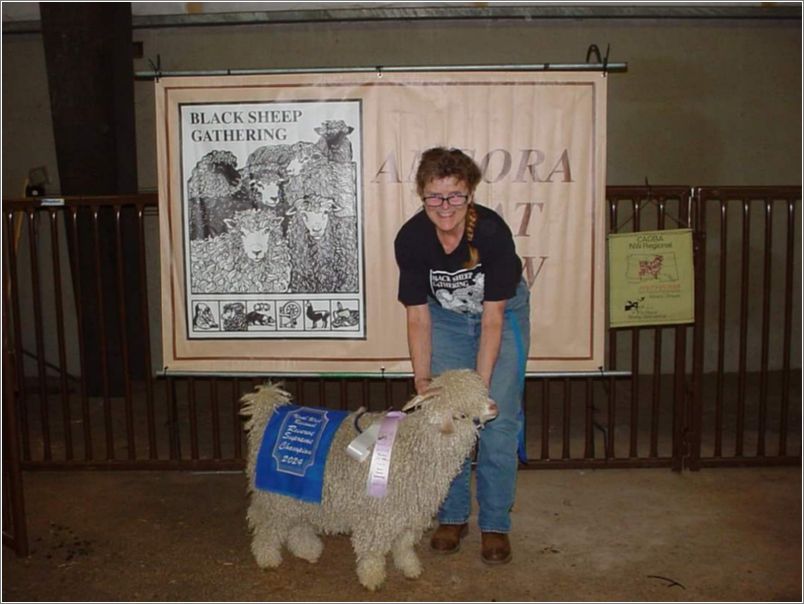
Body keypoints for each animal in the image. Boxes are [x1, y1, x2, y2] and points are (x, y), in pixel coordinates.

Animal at [240, 368, 496, 588]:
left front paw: (410, 568)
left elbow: (404, 545)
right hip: (273, 492)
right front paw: (372, 577)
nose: (494, 406)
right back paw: (267, 557)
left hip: (300, 490)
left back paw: (307, 549)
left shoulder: (408, 512)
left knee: (297, 522)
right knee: (268, 525)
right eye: (462, 414)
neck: (417, 447)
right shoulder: (377, 512)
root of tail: (266, 413)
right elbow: (373, 548)